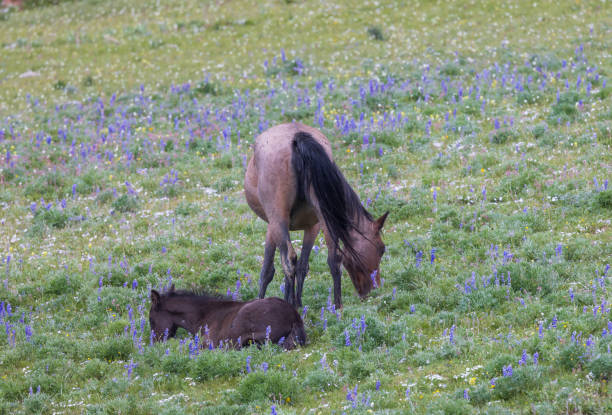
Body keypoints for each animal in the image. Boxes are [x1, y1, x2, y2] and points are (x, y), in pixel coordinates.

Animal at [244, 122, 388, 310]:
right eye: (382, 249)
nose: (373, 289)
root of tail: (297, 138)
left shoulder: (273, 225)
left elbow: (267, 271)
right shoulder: (313, 225)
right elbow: (303, 266)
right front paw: (298, 302)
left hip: (279, 218)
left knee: (289, 261)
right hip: (323, 218)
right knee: (333, 258)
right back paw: (337, 307)